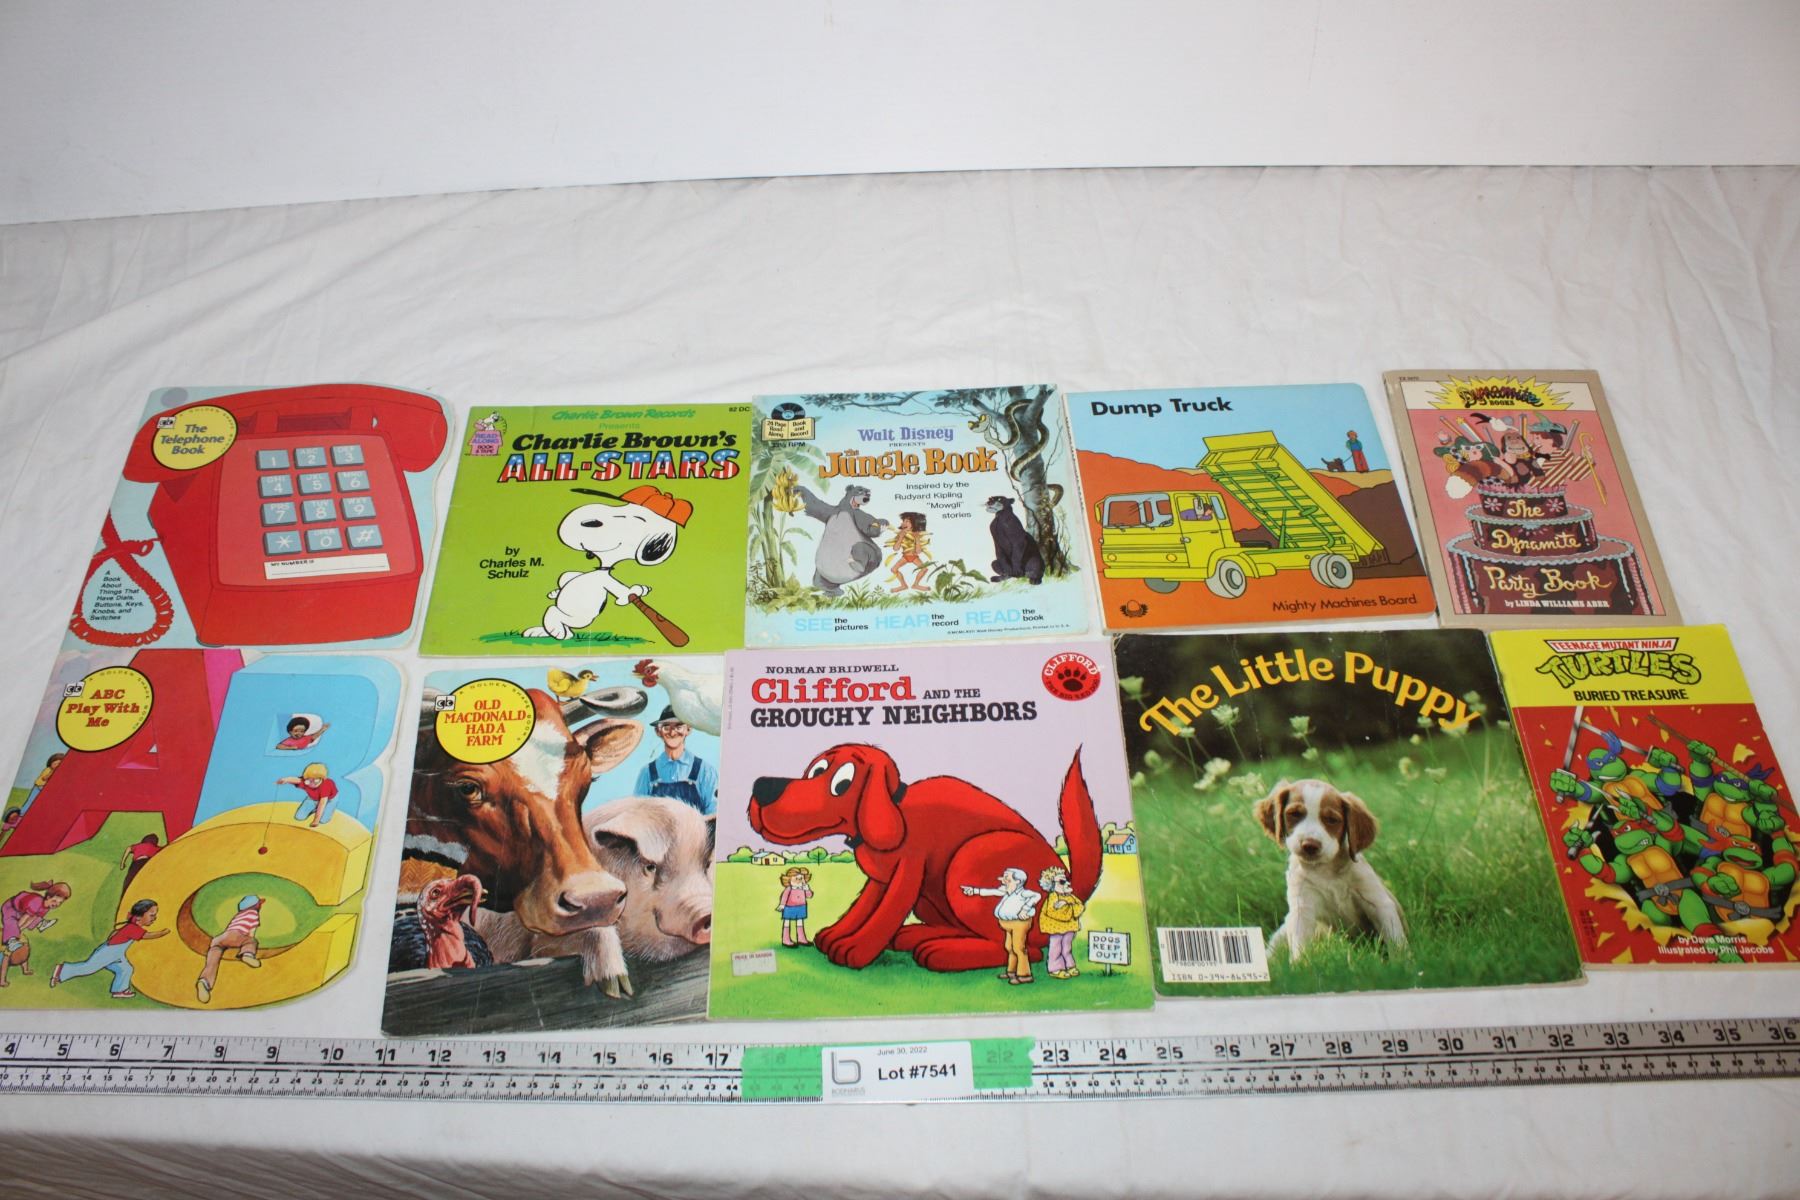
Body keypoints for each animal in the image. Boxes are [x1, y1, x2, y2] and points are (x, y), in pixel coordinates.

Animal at [748, 744, 1102, 972]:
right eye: (815, 770)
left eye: (841, 784)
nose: (763, 787)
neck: (896, 807)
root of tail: (1072, 887)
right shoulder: (881, 878)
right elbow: (864, 907)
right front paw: (837, 934)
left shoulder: (908, 872)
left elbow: (885, 913)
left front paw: (856, 949)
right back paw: (919, 936)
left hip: (968, 859)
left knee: (1025, 948)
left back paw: (942, 952)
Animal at [1254, 779, 1406, 957]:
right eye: (1295, 814)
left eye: (1332, 820)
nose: (1310, 845)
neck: (1326, 870)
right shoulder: (1302, 908)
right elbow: (1300, 946)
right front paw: (1301, 964)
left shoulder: (1378, 903)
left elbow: (1396, 941)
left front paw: (1404, 961)